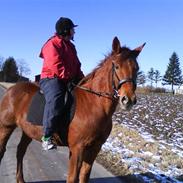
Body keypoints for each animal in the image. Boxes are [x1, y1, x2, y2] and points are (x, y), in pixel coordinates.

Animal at [0, 36, 146, 182]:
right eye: (116, 66)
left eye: (137, 68)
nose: (128, 100)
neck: (94, 104)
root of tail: (11, 90)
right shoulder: (77, 148)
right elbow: (72, 177)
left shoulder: (94, 148)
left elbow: (84, 176)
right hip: (6, 127)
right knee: (3, 150)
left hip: (28, 131)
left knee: (20, 151)